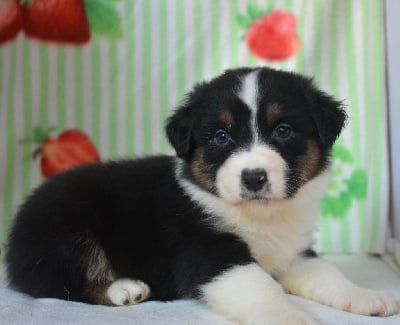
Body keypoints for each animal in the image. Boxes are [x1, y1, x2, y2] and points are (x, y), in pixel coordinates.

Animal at [4, 67, 398, 322]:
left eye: (283, 130)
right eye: (221, 136)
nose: (253, 177)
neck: (260, 216)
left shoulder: (293, 253)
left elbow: (328, 275)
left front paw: (366, 298)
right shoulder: (209, 251)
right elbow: (260, 288)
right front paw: (291, 318)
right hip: (66, 230)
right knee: (60, 283)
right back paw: (124, 289)